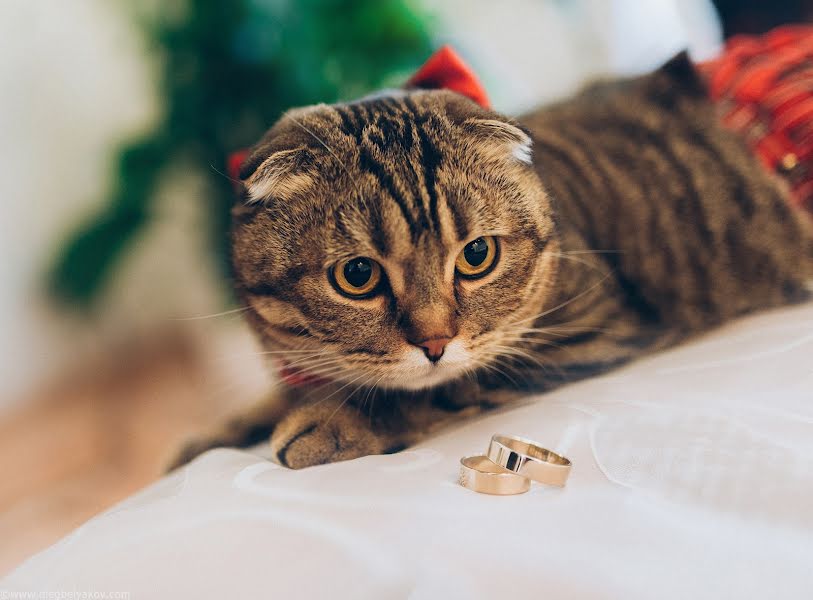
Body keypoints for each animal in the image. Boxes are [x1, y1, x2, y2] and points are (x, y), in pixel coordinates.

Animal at [167, 54, 812, 472]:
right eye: (358, 276)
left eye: (477, 255)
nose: (434, 342)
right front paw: (217, 434)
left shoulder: (593, 332)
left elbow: (444, 389)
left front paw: (337, 421)